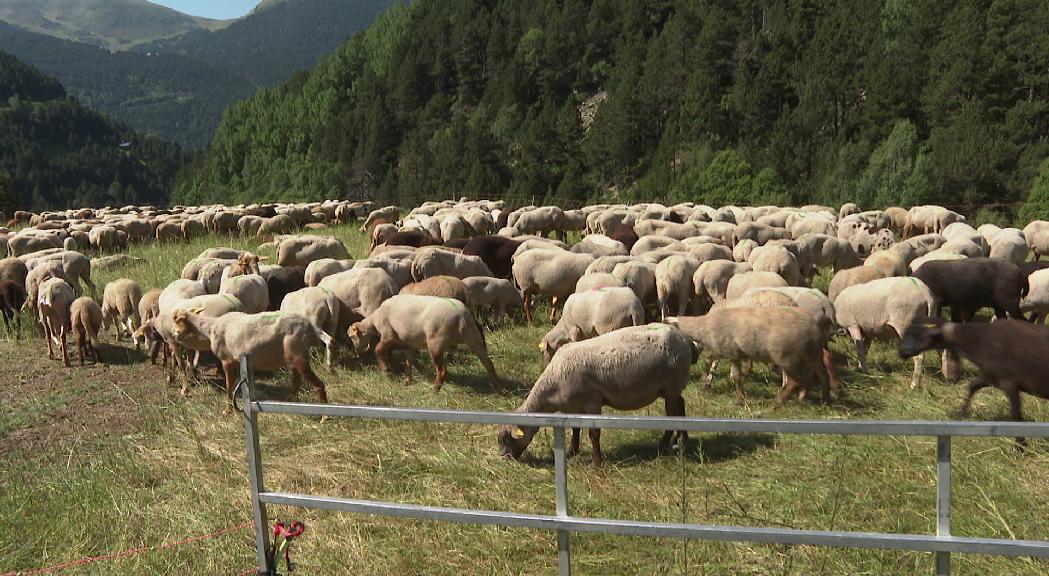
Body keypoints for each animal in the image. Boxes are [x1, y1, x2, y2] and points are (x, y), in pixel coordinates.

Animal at [170, 308, 331, 411]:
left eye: (177, 322)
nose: (173, 335)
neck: (210, 329)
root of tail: (311, 327)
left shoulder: (226, 360)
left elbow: (229, 385)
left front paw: (227, 411)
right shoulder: (237, 362)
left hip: (298, 355)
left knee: (319, 385)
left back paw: (325, 417)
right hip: (295, 357)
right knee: (296, 384)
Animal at [348, 291, 499, 390]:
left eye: (351, 337)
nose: (356, 353)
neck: (374, 320)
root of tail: (461, 315)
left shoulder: (388, 334)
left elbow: (377, 350)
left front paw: (386, 369)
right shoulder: (412, 343)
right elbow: (409, 362)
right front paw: (407, 381)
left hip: (435, 342)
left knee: (442, 370)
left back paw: (435, 389)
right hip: (474, 338)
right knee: (489, 364)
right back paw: (498, 388)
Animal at [497, 323, 696, 467]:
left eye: (506, 438)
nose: (505, 458)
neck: (552, 387)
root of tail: (685, 339)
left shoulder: (592, 401)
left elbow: (594, 433)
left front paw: (596, 462)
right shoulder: (573, 406)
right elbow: (575, 429)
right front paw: (571, 451)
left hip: (671, 384)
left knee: (671, 414)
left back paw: (663, 445)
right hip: (671, 387)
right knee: (681, 404)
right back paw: (682, 438)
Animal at [667, 308, 830, 407]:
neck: (703, 327)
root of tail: (814, 328)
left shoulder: (731, 352)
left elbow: (737, 376)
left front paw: (741, 398)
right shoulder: (726, 352)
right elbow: (715, 364)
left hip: (787, 357)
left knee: (796, 381)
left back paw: (778, 403)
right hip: (813, 355)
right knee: (821, 376)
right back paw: (820, 399)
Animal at [897, 316, 1049, 442]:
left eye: (915, 334)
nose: (901, 352)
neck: (976, 339)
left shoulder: (1009, 383)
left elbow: (1016, 415)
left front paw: (1021, 445)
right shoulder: (990, 376)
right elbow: (972, 386)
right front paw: (961, 413)